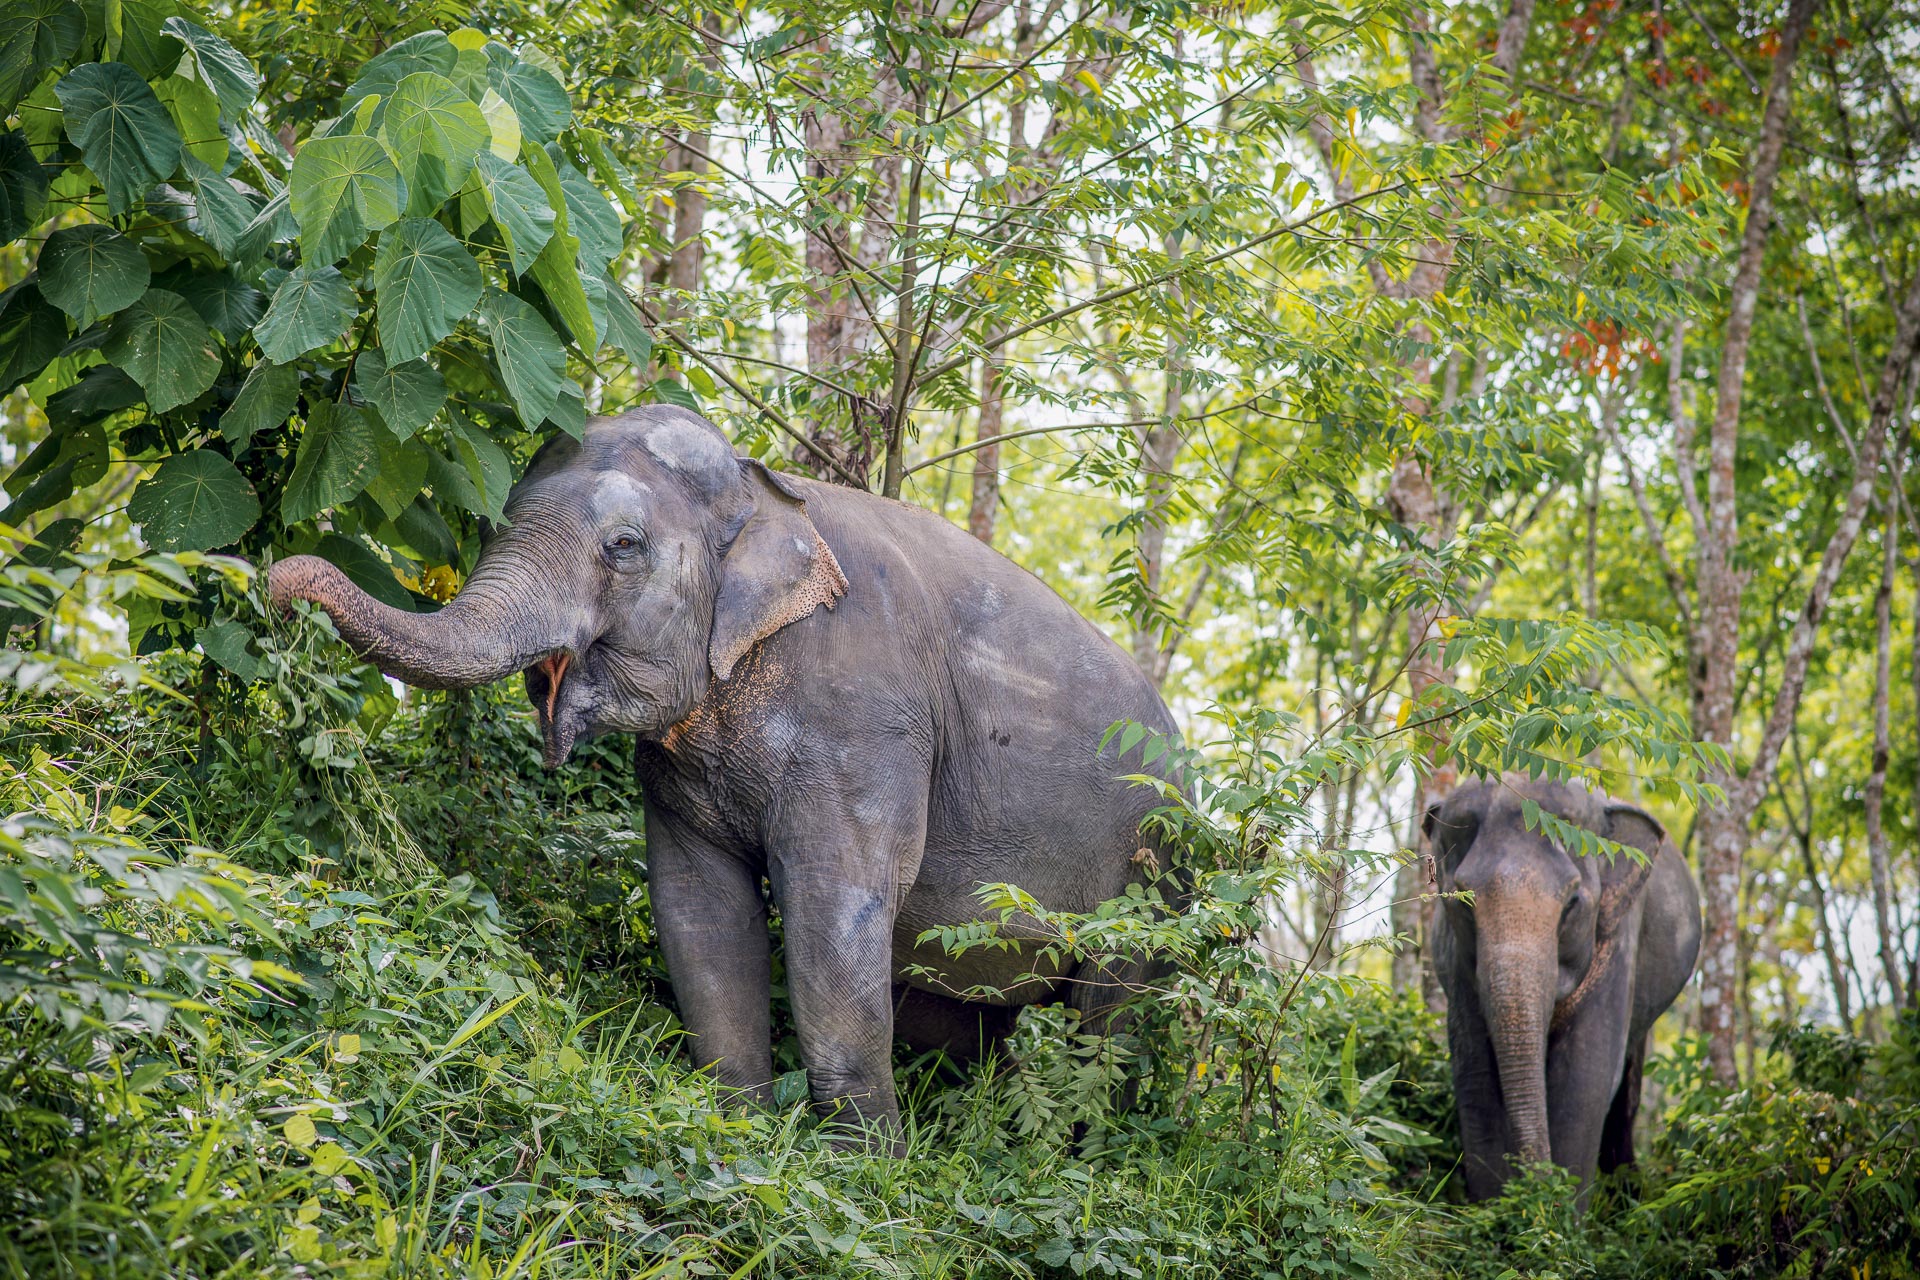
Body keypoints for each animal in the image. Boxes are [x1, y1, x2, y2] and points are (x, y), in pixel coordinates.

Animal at [264, 404, 1175, 1136]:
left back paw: (1078, 1158)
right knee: (968, 1023)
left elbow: (837, 907)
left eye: (623, 547)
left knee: (1107, 1017)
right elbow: (700, 908)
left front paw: (864, 1172)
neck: (761, 485)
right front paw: (740, 1130)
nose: (275, 583)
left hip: (1154, 877)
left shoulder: (867, 722)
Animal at [1428, 775, 1697, 1205]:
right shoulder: (1457, 965)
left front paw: (1556, 1217)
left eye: (1572, 903)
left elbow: (1584, 1077)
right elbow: (1475, 1076)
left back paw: (1627, 1194)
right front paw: (1498, 1214)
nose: (1535, 1186)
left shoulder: (1618, 935)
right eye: (1463, 904)